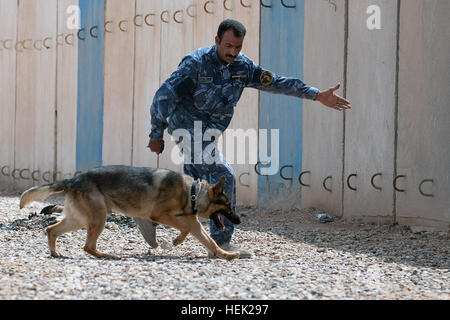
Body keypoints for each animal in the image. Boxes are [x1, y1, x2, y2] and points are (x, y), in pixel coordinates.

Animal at [20, 165, 243, 260]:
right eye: (229, 205)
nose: (239, 220)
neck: (193, 192)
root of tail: (73, 180)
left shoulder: (193, 223)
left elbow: (210, 242)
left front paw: (226, 255)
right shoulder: (160, 215)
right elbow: (184, 229)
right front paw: (177, 240)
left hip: (80, 220)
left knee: (51, 230)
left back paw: (55, 252)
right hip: (98, 218)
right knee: (87, 246)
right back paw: (107, 255)